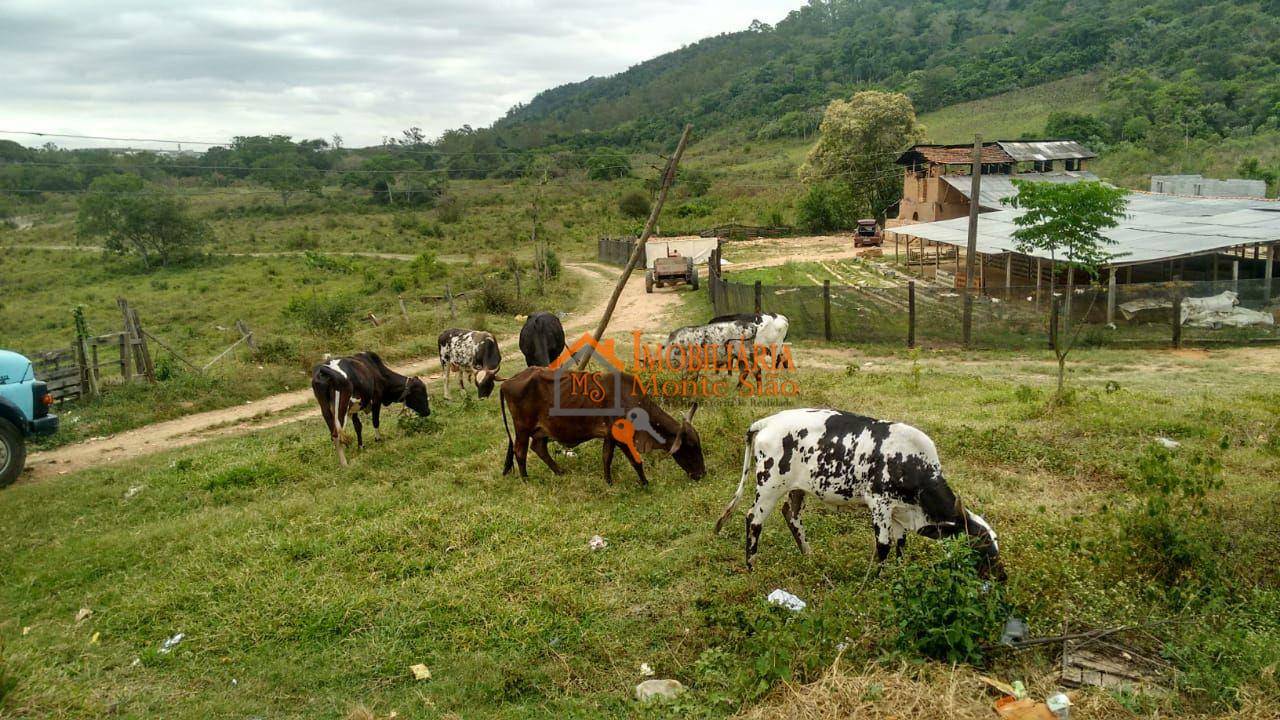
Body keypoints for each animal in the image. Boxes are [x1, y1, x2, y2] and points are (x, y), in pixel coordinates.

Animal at [496, 363, 706, 481]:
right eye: (690, 447)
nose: (702, 474)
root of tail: (508, 381)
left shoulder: (609, 437)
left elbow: (606, 458)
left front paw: (608, 481)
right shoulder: (623, 438)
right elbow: (635, 461)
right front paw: (645, 483)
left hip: (541, 430)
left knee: (538, 448)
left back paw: (560, 472)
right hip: (523, 427)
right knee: (520, 451)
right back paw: (525, 479)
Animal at [716, 407, 1003, 579]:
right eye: (981, 545)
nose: (1002, 576)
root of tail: (768, 421)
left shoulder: (898, 511)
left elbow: (900, 544)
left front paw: (899, 573)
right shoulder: (879, 504)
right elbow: (884, 545)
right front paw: (876, 580)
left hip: (797, 488)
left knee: (791, 515)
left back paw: (808, 554)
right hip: (769, 486)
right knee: (753, 520)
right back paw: (752, 565)